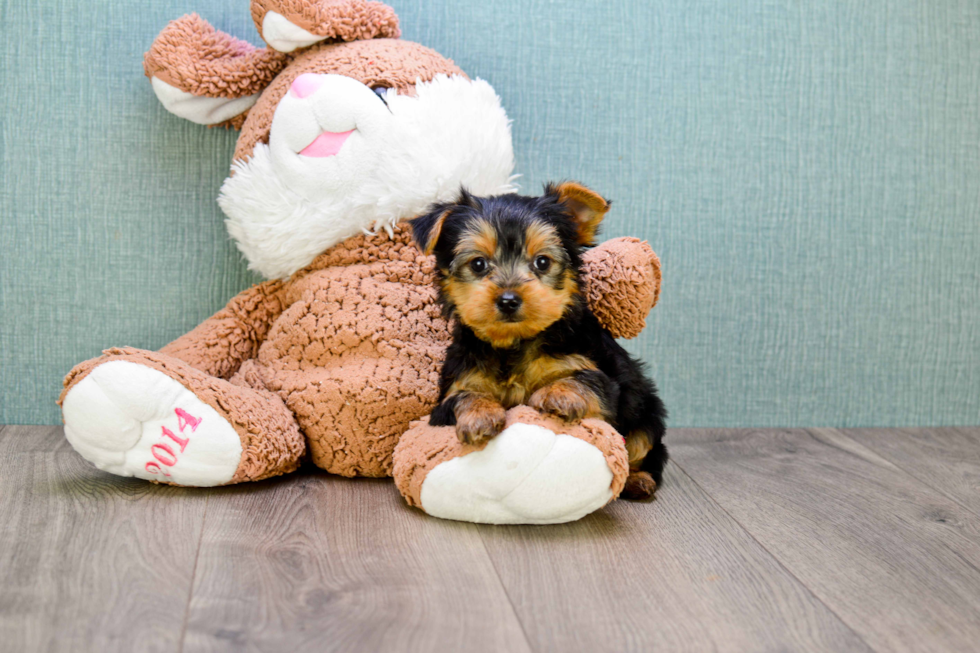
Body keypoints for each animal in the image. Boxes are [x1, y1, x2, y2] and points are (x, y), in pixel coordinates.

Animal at [410, 181, 668, 496]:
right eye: (478, 264)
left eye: (542, 262)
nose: (509, 300)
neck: (514, 342)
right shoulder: (453, 389)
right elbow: (463, 396)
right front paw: (480, 415)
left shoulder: (604, 379)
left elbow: (585, 379)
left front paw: (558, 394)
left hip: (646, 410)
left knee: (644, 444)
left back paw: (639, 479)